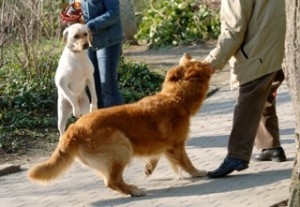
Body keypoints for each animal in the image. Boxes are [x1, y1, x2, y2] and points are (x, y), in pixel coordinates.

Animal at [28, 52, 214, 196]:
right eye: (196, 61)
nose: (187, 54)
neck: (175, 97)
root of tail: (73, 129)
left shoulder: (162, 145)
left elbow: (156, 156)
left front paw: (149, 167)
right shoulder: (177, 145)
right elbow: (186, 162)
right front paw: (197, 173)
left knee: (111, 180)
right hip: (122, 146)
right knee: (112, 181)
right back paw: (134, 191)